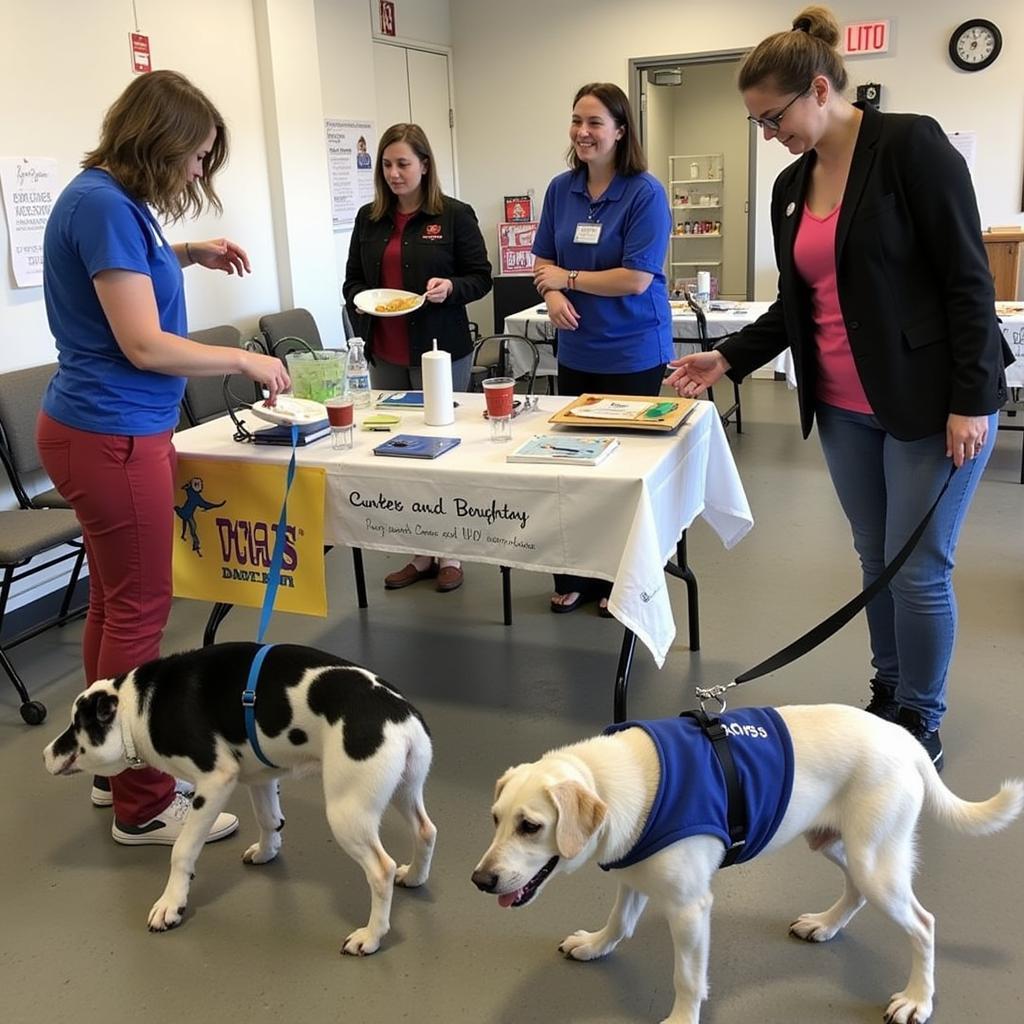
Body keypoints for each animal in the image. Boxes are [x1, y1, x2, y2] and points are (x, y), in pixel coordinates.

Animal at [43, 643, 436, 954]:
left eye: (76, 726)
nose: (45, 753)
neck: (139, 707)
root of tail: (402, 717)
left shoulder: (215, 781)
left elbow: (182, 851)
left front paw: (172, 903)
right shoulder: (261, 777)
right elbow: (269, 820)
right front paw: (266, 852)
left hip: (347, 812)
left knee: (381, 870)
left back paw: (371, 936)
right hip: (403, 791)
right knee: (426, 831)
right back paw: (415, 876)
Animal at [471, 708, 1024, 1024]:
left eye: (530, 826)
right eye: (495, 818)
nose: (480, 880)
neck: (615, 781)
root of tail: (904, 739)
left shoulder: (690, 909)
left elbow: (688, 979)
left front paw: (681, 1020)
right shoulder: (635, 873)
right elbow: (619, 922)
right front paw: (594, 945)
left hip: (877, 862)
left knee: (923, 925)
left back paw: (918, 999)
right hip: (839, 844)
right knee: (854, 891)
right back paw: (825, 925)